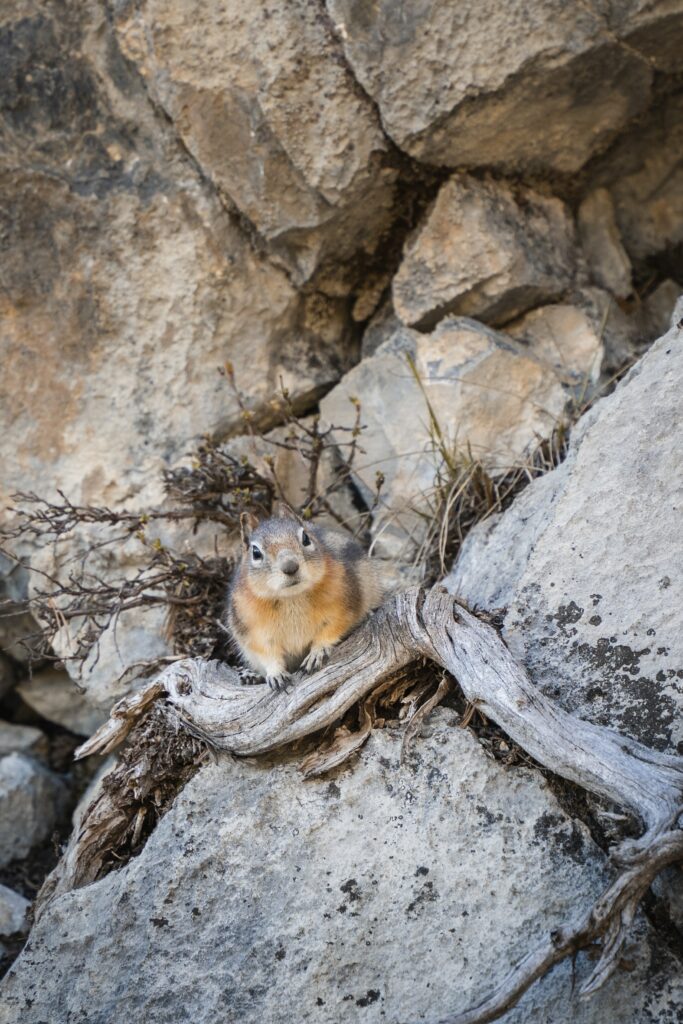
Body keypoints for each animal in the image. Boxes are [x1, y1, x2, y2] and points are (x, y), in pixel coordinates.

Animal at [225, 506, 388, 691]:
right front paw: (276, 674)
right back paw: (251, 676)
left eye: (305, 538)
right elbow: (268, 654)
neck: (292, 597)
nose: (290, 566)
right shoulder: (254, 631)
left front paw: (317, 653)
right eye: (256, 552)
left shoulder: (343, 607)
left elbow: (331, 630)